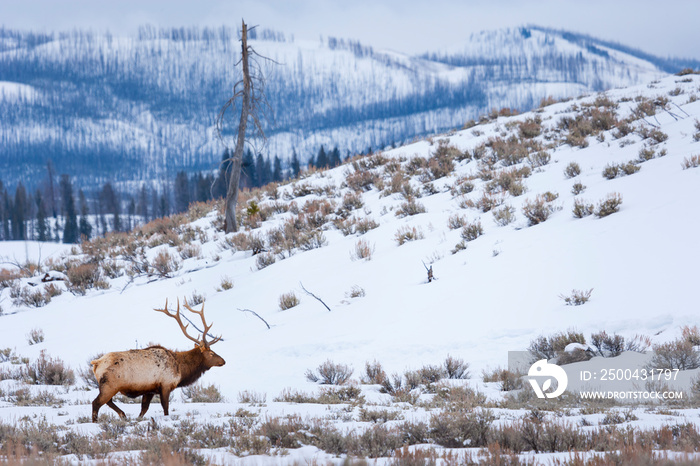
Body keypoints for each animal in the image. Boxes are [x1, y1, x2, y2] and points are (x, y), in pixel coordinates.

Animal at [90, 298, 226, 422]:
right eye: (211, 353)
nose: (223, 361)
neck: (181, 369)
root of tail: (96, 363)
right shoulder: (165, 385)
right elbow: (165, 408)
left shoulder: (149, 390)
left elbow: (144, 409)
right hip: (110, 385)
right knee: (96, 403)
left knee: (107, 402)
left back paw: (123, 415)